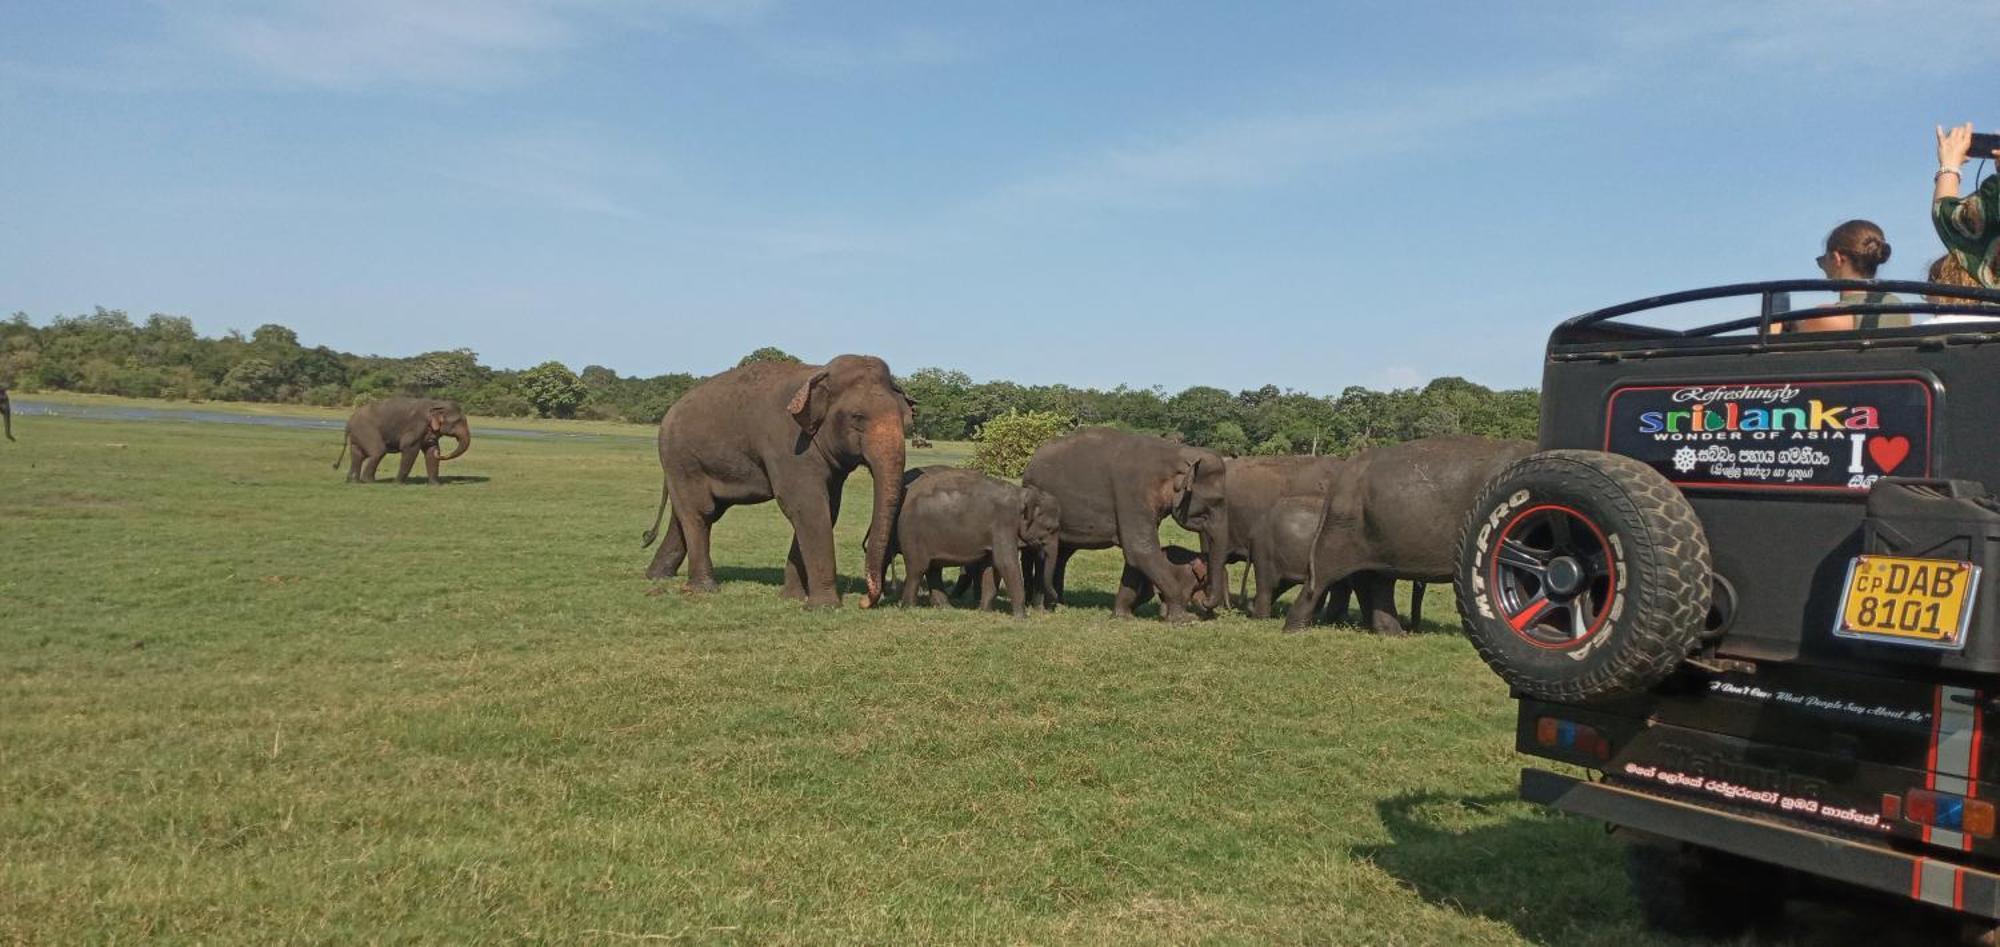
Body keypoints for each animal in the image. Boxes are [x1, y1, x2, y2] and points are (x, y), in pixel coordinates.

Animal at [340, 397, 476, 485]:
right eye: (458, 422)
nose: (439, 454)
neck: (436, 404)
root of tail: (349, 422)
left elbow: (430, 450)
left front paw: (435, 485)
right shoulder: (416, 427)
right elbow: (409, 449)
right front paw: (397, 484)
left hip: (358, 435)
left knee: (357, 454)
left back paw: (353, 482)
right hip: (367, 431)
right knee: (378, 451)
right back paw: (370, 482)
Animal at [640, 353, 916, 607]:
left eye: (905, 419)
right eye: (857, 417)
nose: (864, 601)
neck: (820, 373)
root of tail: (670, 410)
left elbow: (827, 508)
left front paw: (793, 597)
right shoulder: (790, 445)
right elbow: (806, 505)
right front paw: (824, 607)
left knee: (689, 513)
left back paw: (657, 576)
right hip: (681, 458)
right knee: (699, 512)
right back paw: (703, 588)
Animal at [880, 463, 1056, 615]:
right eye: (1050, 529)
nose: (1052, 605)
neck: (1023, 495)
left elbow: (992, 566)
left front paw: (985, 611)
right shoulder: (1003, 525)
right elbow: (1006, 564)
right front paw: (1021, 617)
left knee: (933, 569)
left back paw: (946, 608)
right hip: (913, 536)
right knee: (917, 569)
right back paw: (909, 608)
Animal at [1024, 429, 1224, 623]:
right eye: (1215, 502)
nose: (1206, 604)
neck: (1175, 452)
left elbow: (1135, 557)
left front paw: (1122, 616)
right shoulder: (1133, 494)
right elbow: (1141, 551)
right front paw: (1185, 619)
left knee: (1062, 554)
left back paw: (1057, 604)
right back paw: (1041, 608)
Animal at [1280, 437, 1528, 635]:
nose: (1415, 628)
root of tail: (1339, 479)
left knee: (1379, 579)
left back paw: (1393, 633)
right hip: (1344, 526)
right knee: (1323, 575)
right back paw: (1294, 631)